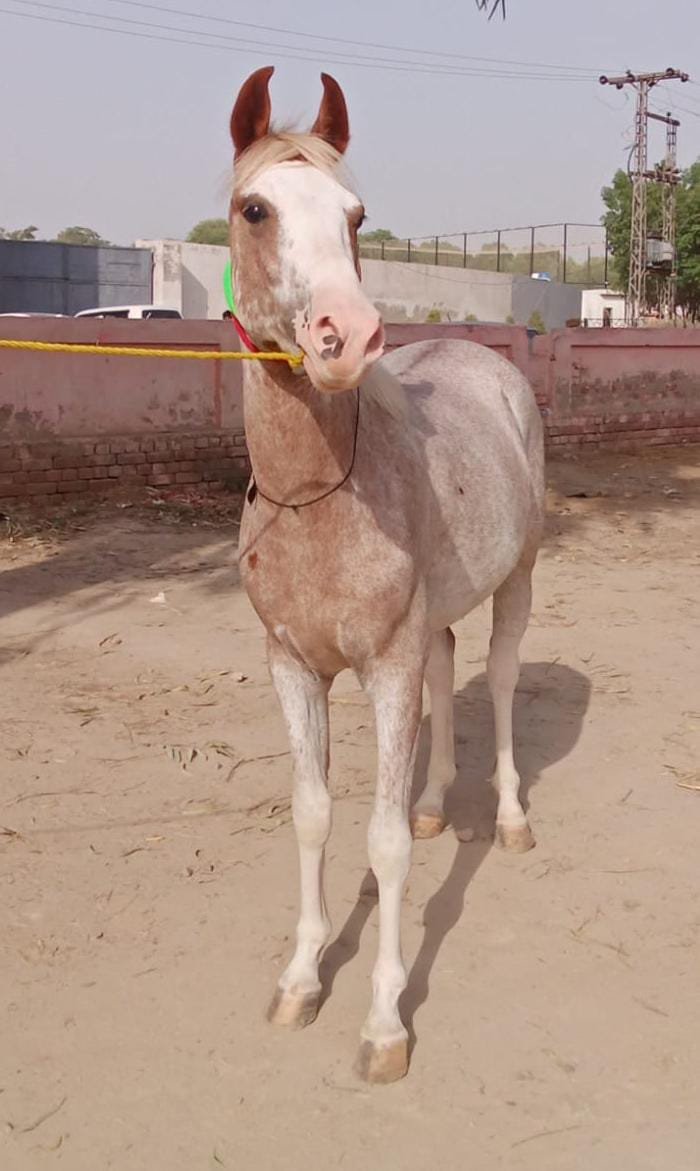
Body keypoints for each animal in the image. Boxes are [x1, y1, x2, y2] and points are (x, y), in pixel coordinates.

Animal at [229, 66, 544, 1083]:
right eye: (255, 208)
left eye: (356, 215)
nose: (348, 336)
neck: (318, 500)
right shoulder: (294, 666)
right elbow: (313, 815)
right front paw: (300, 978)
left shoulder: (386, 668)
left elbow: (384, 840)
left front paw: (383, 1023)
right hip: (434, 624)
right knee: (450, 669)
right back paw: (443, 803)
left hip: (519, 579)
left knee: (504, 675)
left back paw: (509, 818)